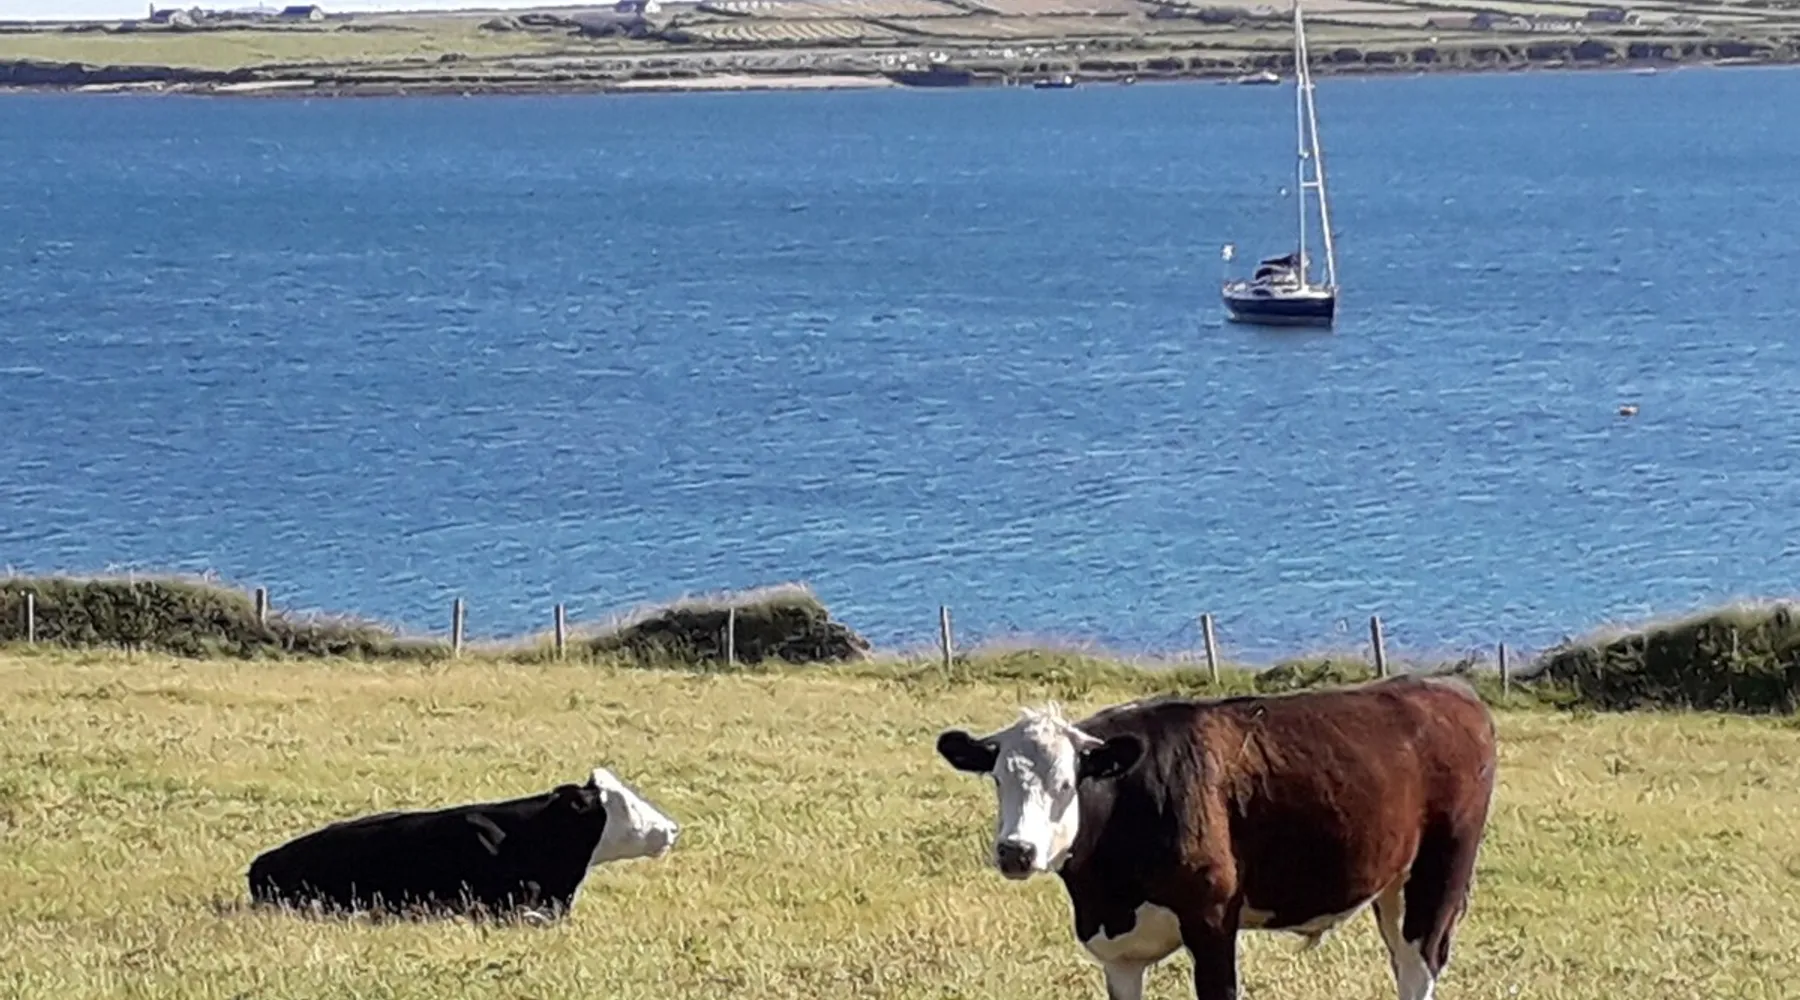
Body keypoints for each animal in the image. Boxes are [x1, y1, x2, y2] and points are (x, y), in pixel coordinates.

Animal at [934, 675, 1498, 1000]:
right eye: (998, 779)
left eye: (1069, 783)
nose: (1016, 851)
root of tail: (1450, 690)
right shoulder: (1117, 952)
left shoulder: (1211, 918)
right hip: (1392, 882)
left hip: (1442, 871)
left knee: (1419, 965)